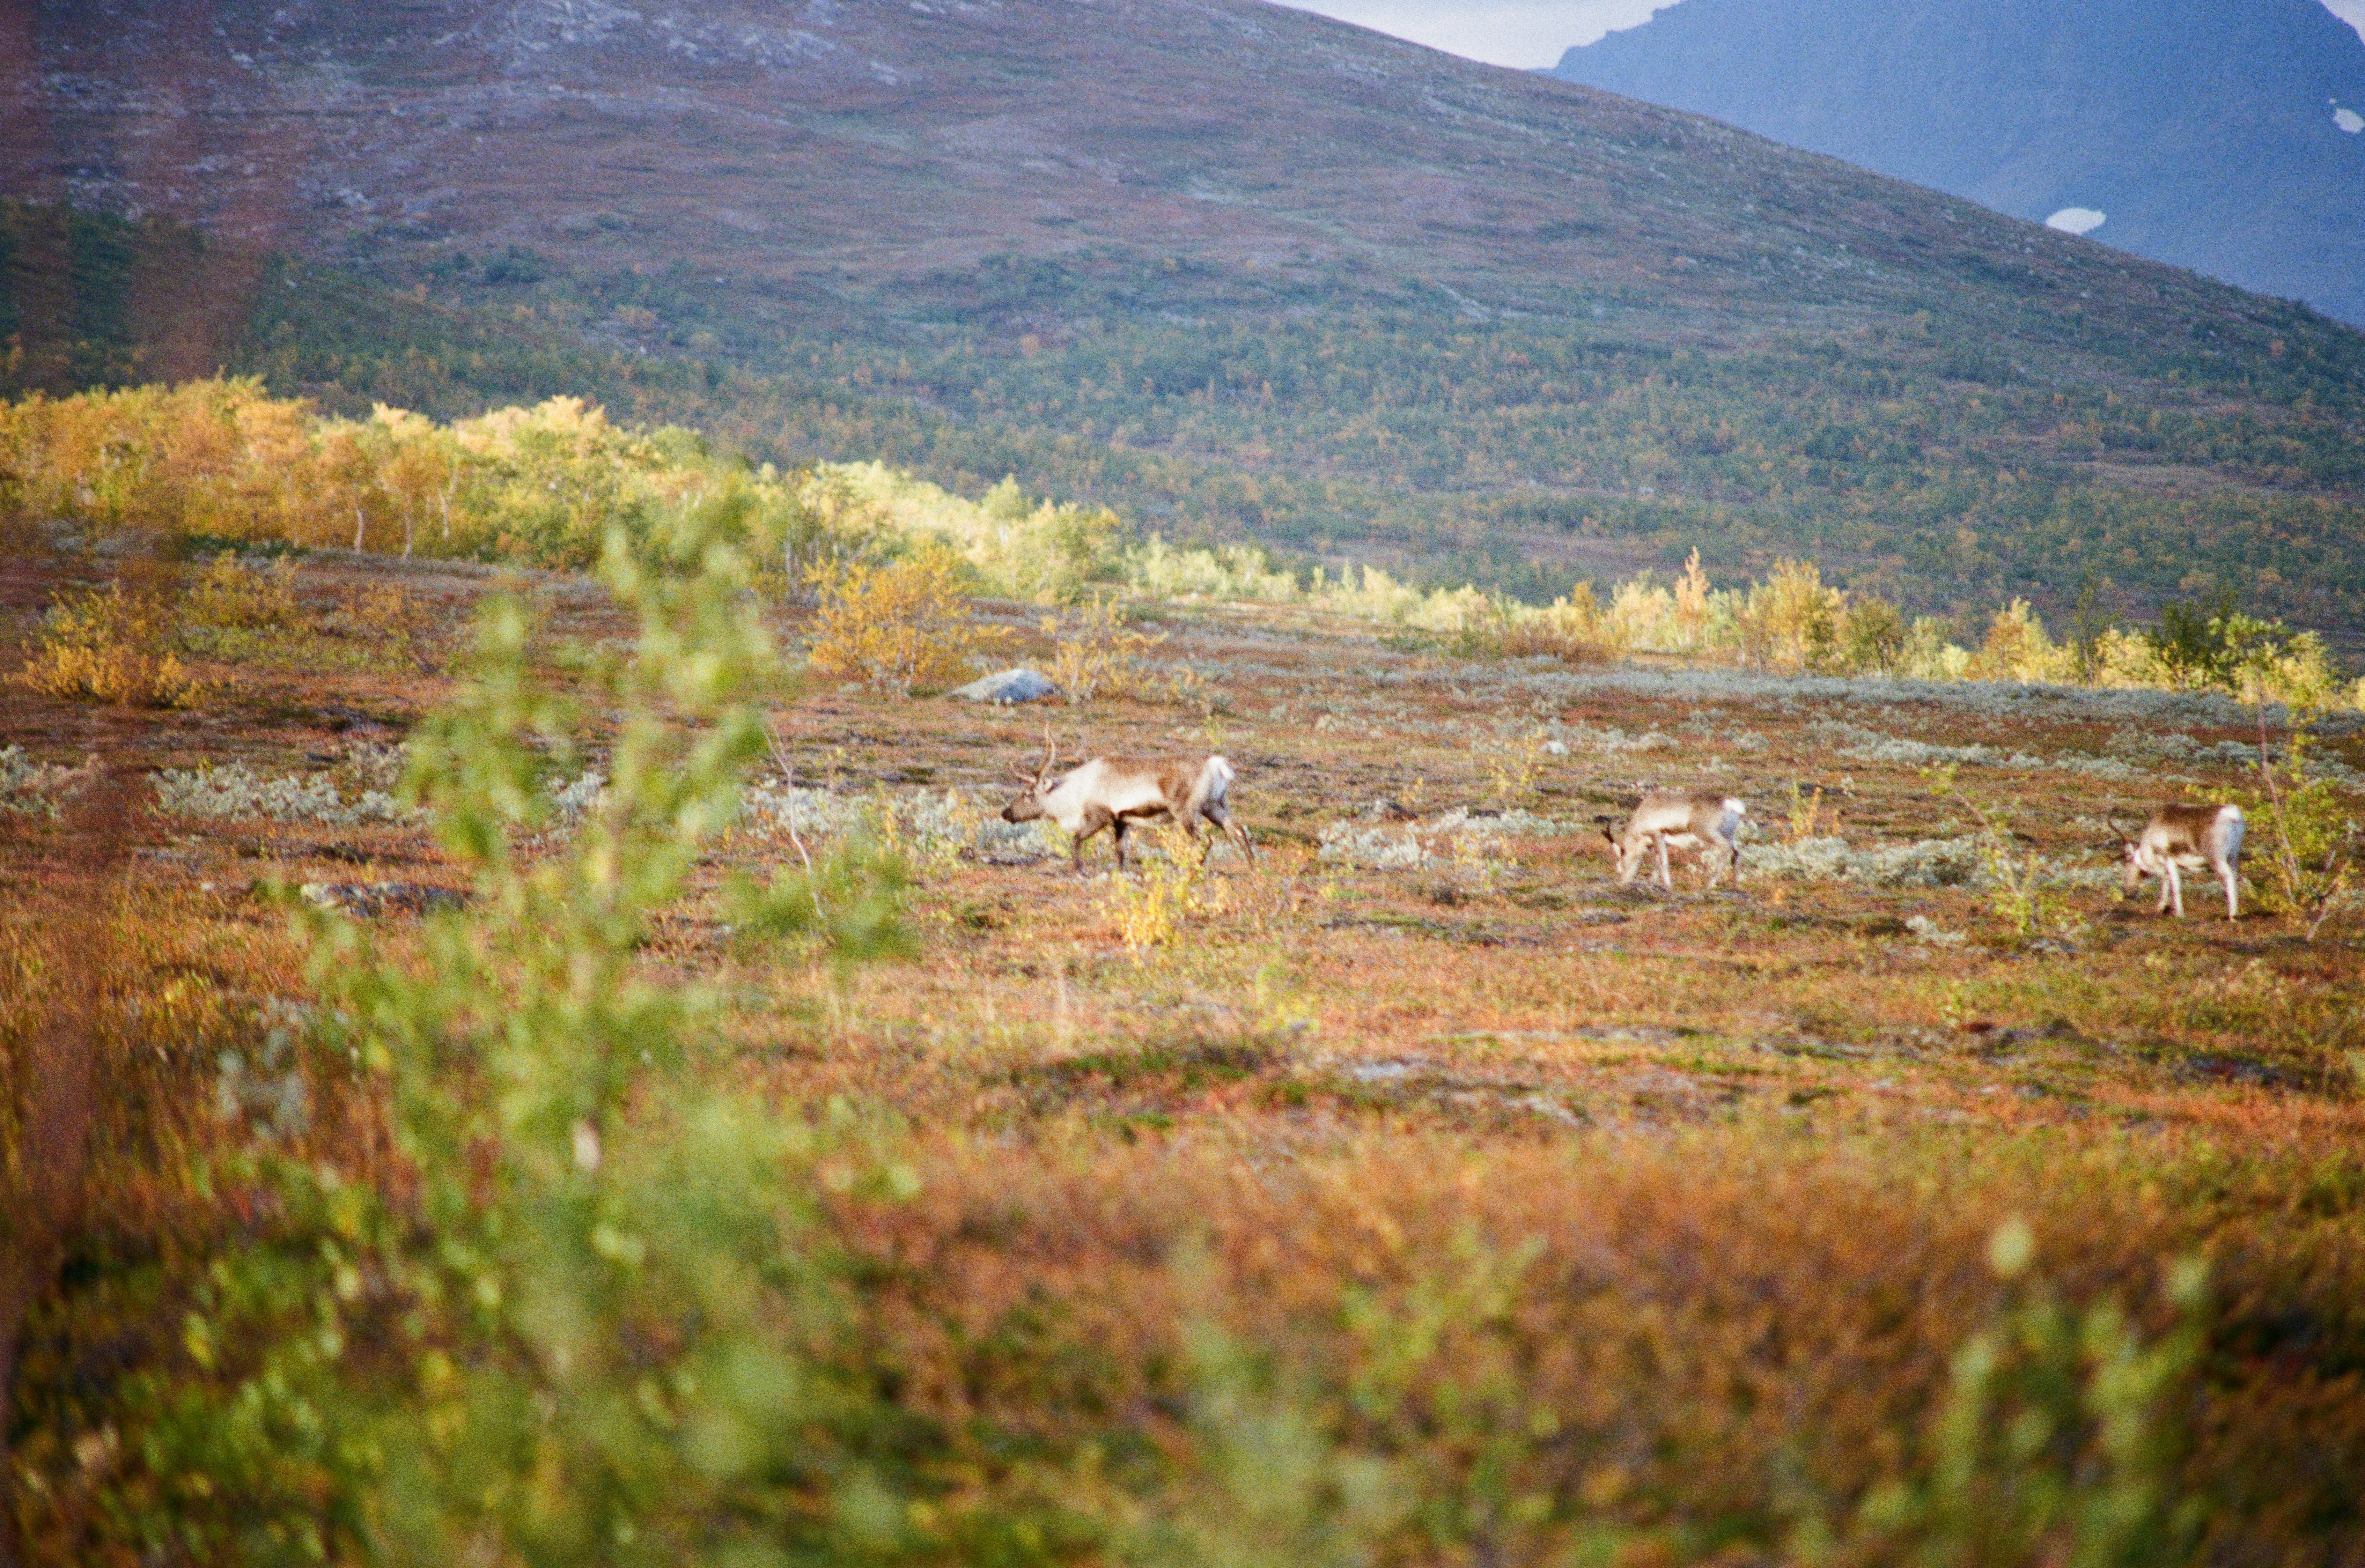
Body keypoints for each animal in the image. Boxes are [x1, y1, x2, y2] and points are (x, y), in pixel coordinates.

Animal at [1000, 732, 1254, 873]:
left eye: (1028, 794)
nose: (1006, 813)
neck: (1076, 791)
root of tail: (1220, 765)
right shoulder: (1121, 821)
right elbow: (1120, 853)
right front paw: (1121, 873)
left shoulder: (1100, 817)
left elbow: (1076, 840)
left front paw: (1080, 870)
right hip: (1216, 806)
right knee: (1238, 831)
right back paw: (1254, 868)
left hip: (1187, 811)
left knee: (1205, 841)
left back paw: (1193, 870)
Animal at [1600, 791, 1748, 892]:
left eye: (1621, 864)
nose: (1622, 883)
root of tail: (1730, 802)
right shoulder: (1662, 843)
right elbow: (1657, 863)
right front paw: (1654, 882)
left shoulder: (1657, 835)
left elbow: (1663, 863)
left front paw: (1668, 885)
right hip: (1729, 835)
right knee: (1736, 854)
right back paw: (1736, 885)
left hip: (1708, 834)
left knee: (1726, 849)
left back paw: (1710, 884)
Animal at [2112, 803, 2245, 920]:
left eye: (2128, 864)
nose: (2126, 890)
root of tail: (2233, 815)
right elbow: (2167, 880)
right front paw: (2162, 908)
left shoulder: (2169, 860)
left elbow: (2175, 884)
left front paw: (2178, 914)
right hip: (2233, 857)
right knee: (2235, 876)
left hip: (2217, 859)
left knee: (2229, 876)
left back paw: (2232, 916)